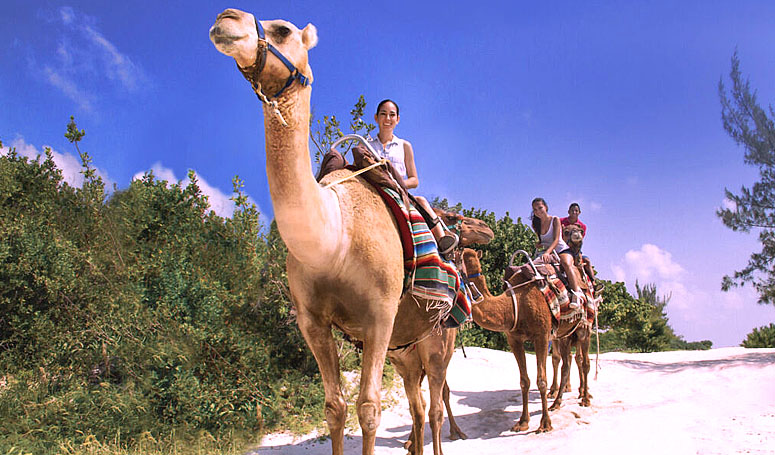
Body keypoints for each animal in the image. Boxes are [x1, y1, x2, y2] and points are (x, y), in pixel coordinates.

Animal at [211, 8, 492, 454]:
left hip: (438, 343)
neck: (335, 238)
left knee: (433, 403)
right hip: (405, 352)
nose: (227, 19)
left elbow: (369, 408)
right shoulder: (312, 321)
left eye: (283, 30)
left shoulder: (379, 313)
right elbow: (335, 407)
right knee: (417, 406)